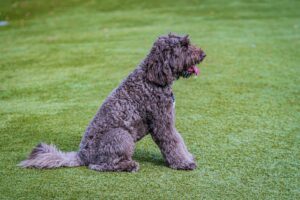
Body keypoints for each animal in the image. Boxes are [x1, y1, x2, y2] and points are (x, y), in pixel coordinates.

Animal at [18, 33, 206, 172]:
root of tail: (81, 155)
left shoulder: (167, 120)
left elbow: (179, 140)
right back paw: (129, 165)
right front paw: (183, 163)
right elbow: (173, 143)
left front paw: (187, 157)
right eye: (184, 46)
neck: (152, 78)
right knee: (99, 166)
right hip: (121, 135)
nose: (203, 54)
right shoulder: (162, 123)